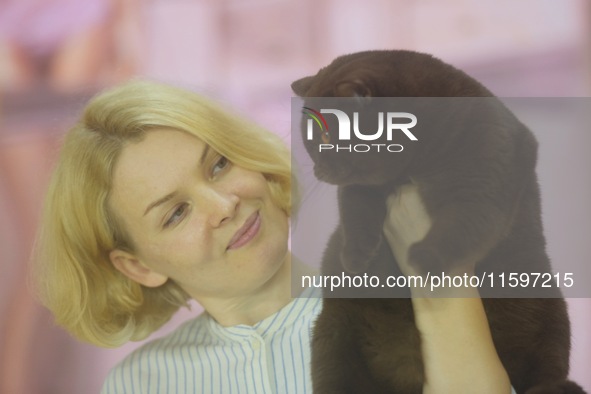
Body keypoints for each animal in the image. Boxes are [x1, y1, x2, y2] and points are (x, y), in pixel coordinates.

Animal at [294, 50, 584, 394]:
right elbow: (354, 205)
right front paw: (356, 258)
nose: (316, 169)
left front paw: (424, 260)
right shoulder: (363, 187)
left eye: (326, 135)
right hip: (333, 332)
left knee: (545, 373)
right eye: (310, 141)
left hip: (546, 308)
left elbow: (467, 221)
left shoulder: (484, 171)